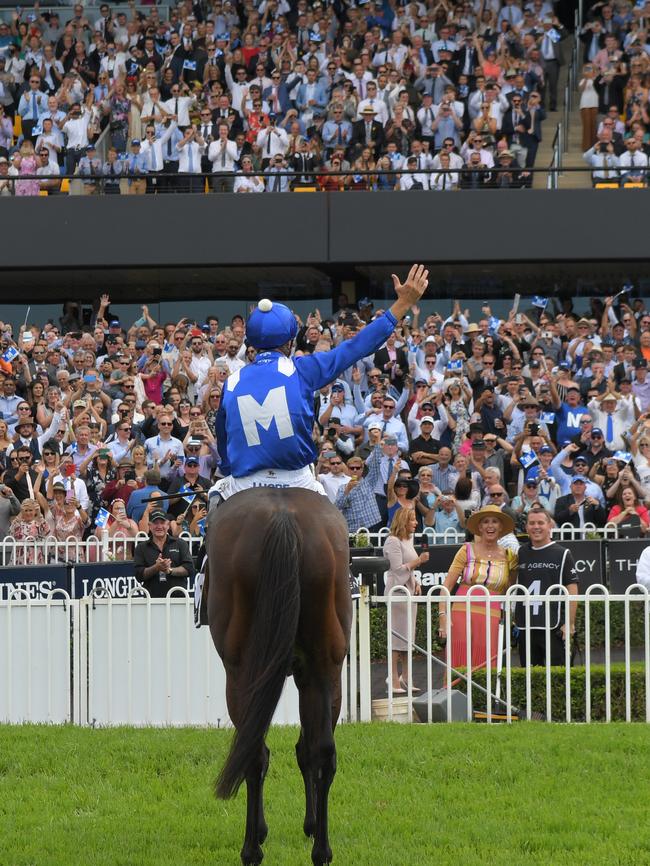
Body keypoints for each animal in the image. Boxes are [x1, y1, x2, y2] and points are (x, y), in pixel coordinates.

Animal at [206, 486, 350, 864]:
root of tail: (283, 516)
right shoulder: (310, 672)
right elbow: (307, 748)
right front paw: (311, 825)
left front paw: (263, 830)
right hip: (325, 667)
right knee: (322, 751)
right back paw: (321, 851)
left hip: (241, 672)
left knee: (253, 751)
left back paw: (251, 850)